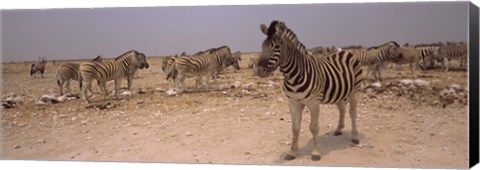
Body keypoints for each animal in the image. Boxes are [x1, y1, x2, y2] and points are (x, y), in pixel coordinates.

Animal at [255, 20, 364, 161]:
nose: (259, 71)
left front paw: (316, 153)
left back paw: (355, 137)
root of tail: (345, 51)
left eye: (277, 47)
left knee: (352, 112)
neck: (294, 76)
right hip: (339, 90)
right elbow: (295, 128)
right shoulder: (293, 103)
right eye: (262, 46)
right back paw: (338, 130)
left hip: (355, 90)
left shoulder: (314, 103)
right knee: (342, 108)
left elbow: (314, 127)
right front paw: (292, 152)